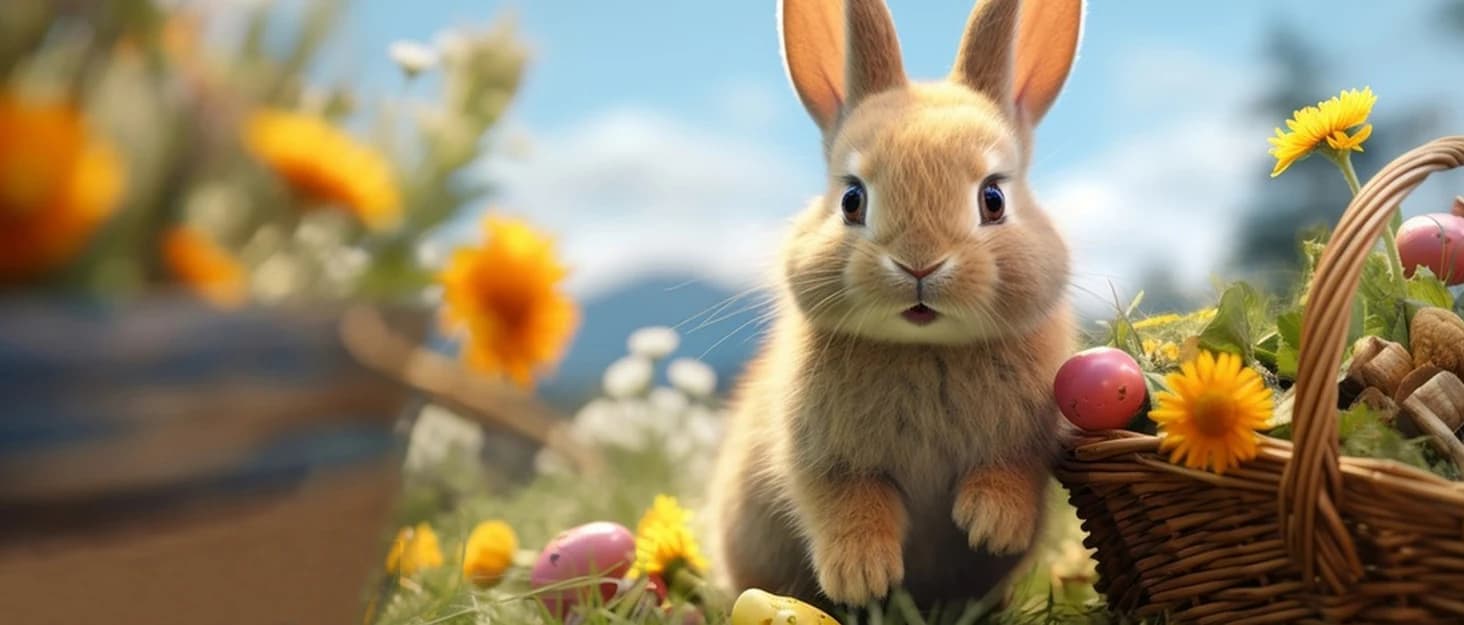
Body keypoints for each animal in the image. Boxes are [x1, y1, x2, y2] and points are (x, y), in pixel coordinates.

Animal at [706, 0, 1085, 612]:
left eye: (993, 199)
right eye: (851, 200)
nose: (919, 265)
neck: (924, 348)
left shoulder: (1028, 441)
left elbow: (1009, 473)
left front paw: (989, 526)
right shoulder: (825, 460)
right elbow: (847, 504)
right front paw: (862, 577)